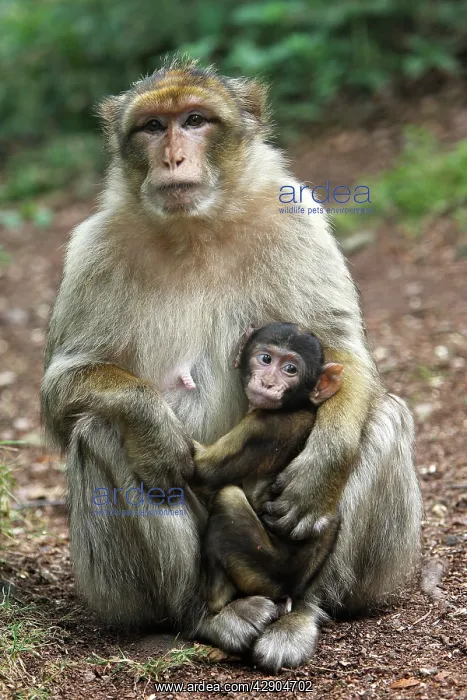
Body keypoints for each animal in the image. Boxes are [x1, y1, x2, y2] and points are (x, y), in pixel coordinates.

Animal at [191, 322, 344, 614]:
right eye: (265, 359)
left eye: (291, 369)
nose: (268, 383)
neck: (296, 405)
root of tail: (289, 588)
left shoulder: (263, 428)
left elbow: (200, 470)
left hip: (261, 568)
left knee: (228, 497)